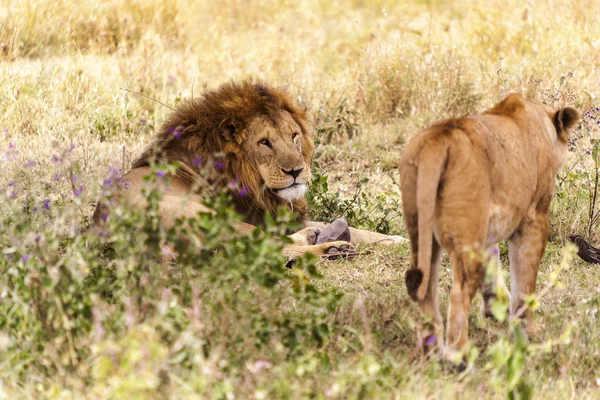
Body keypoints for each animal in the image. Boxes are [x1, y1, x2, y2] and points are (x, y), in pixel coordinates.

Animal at [95, 79, 404, 260]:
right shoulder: (259, 217)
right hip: (206, 217)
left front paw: (395, 239)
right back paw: (331, 247)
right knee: (266, 247)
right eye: (265, 142)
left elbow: (362, 230)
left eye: (294, 136)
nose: (296, 171)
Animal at [400, 93, 580, 366]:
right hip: (467, 234)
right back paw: (458, 358)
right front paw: (529, 331)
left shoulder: (489, 228)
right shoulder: (534, 219)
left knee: (424, 288)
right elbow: (525, 282)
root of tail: (439, 138)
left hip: (421, 231)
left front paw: (497, 307)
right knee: (458, 293)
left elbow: (493, 269)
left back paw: (432, 350)